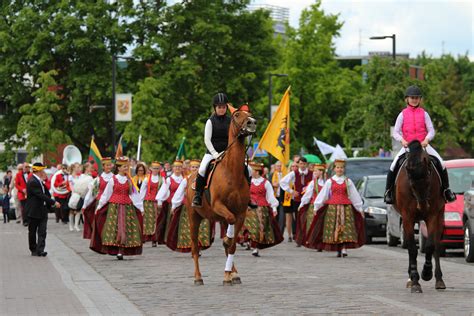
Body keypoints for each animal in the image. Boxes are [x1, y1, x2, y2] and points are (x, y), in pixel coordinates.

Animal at [184, 106, 256, 286]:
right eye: (237, 114)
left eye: (250, 113)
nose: (252, 123)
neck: (231, 172)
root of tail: (190, 177)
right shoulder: (218, 206)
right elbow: (230, 225)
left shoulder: (241, 213)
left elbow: (232, 245)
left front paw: (229, 274)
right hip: (193, 217)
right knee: (195, 247)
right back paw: (198, 277)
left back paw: (232, 273)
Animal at [394, 141, 446, 294]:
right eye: (411, 183)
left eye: (429, 180)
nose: (422, 206)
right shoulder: (407, 217)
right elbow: (412, 248)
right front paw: (415, 281)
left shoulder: (432, 216)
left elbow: (430, 246)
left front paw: (426, 273)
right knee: (410, 247)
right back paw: (410, 279)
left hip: (439, 216)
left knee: (436, 245)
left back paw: (439, 280)